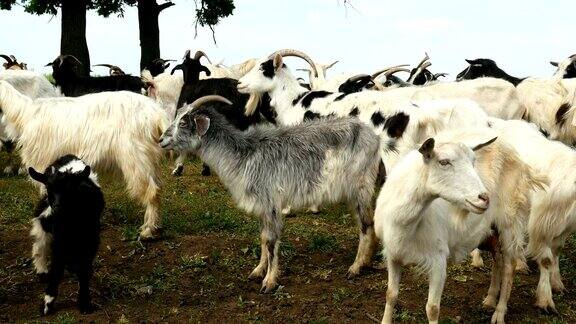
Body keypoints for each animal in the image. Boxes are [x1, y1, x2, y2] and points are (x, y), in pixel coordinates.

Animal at [0, 79, 169, 239]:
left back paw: (148, 230)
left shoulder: (44, 164)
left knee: (151, 192)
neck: (25, 112)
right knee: (157, 187)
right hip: (149, 161)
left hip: (137, 158)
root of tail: (156, 113)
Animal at [29, 156, 104, 316]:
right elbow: (57, 268)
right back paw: (42, 271)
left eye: (70, 190)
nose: (57, 207)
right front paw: (48, 303)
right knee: (40, 243)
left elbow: (84, 269)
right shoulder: (59, 238)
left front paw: (84, 303)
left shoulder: (91, 240)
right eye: (49, 189)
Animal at [158, 95, 382, 292]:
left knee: (365, 224)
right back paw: (366, 261)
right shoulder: (262, 207)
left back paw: (355, 268)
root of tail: (374, 137)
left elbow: (272, 242)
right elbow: (264, 238)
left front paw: (269, 282)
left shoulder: (271, 203)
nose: (161, 140)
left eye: (184, 122)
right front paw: (258, 271)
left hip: (360, 187)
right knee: (367, 222)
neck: (244, 155)